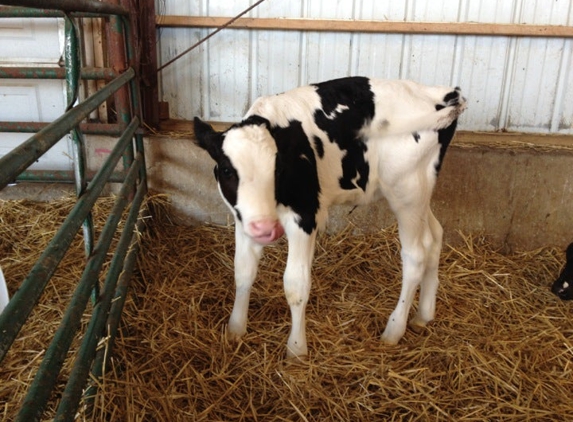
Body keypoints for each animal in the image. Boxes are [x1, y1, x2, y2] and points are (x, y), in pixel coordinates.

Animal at [193, 76, 464, 360]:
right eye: (227, 170)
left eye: (278, 169)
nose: (265, 228)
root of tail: (444, 93)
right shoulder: (243, 219)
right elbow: (243, 271)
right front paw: (235, 329)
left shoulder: (305, 215)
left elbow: (296, 285)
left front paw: (296, 349)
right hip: (420, 193)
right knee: (435, 236)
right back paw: (423, 315)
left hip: (407, 192)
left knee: (415, 255)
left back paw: (393, 330)